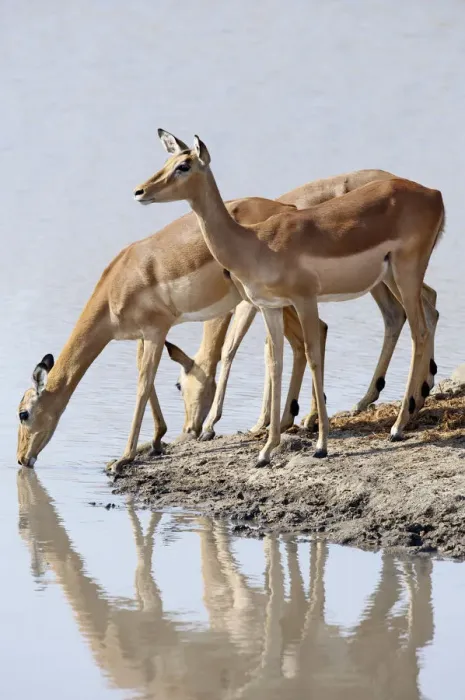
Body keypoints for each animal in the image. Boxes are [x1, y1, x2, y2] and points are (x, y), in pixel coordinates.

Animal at [134, 130, 444, 465]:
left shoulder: (304, 300)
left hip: (405, 274)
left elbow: (312, 355)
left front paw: (321, 445)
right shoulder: (271, 307)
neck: (255, 243)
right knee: (420, 317)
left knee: (418, 331)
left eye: (184, 165)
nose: (140, 191)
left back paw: (397, 427)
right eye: (167, 162)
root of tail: (434, 193)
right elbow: (276, 362)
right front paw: (265, 451)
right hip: (391, 279)